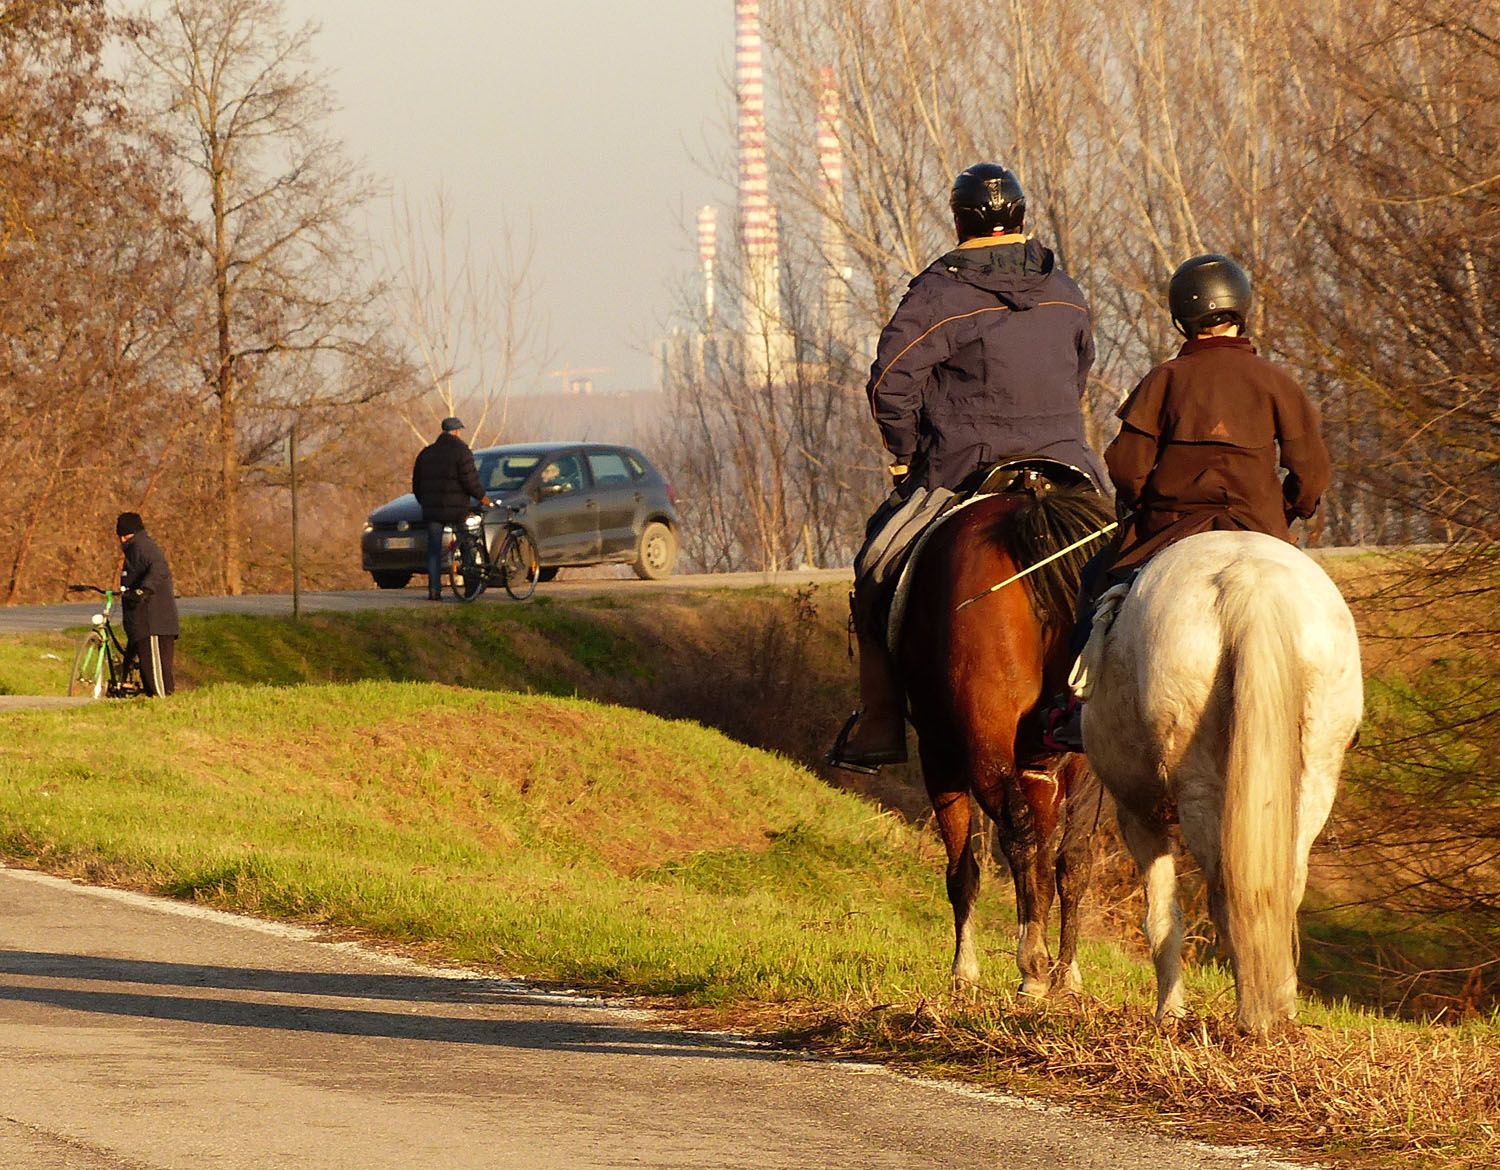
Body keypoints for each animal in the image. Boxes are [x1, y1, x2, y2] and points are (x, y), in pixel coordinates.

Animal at [888, 477, 1116, 996]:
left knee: (1015, 833)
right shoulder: (1042, 773)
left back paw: (1031, 965)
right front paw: (1062, 971)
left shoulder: (940, 754)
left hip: (979, 748)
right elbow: (1049, 869)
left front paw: (964, 970)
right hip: (1077, 765)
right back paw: (1063, 973)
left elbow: (963, 869)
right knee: (1073, 855)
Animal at [1086, 531, 1368, 1032]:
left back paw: (1251, 1016)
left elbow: (1161, 916)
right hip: (1314, 782)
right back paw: (1278, 1010)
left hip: (1198, 789)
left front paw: (1169, 1015)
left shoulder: (1136, 812)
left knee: (1225, 893)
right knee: (1280, 888)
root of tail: (1247, 579)